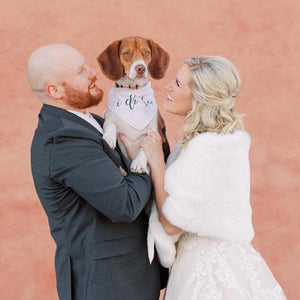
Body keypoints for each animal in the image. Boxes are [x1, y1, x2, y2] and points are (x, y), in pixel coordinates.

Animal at [98, 37, 169, 173]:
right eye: (126, 53)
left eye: (146, 52)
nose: (141, 68)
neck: (132, 90)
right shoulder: (109, 117)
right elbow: (110, 124)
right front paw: (109, 137)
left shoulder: (156, 133)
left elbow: (144, 146)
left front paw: (139, 163)